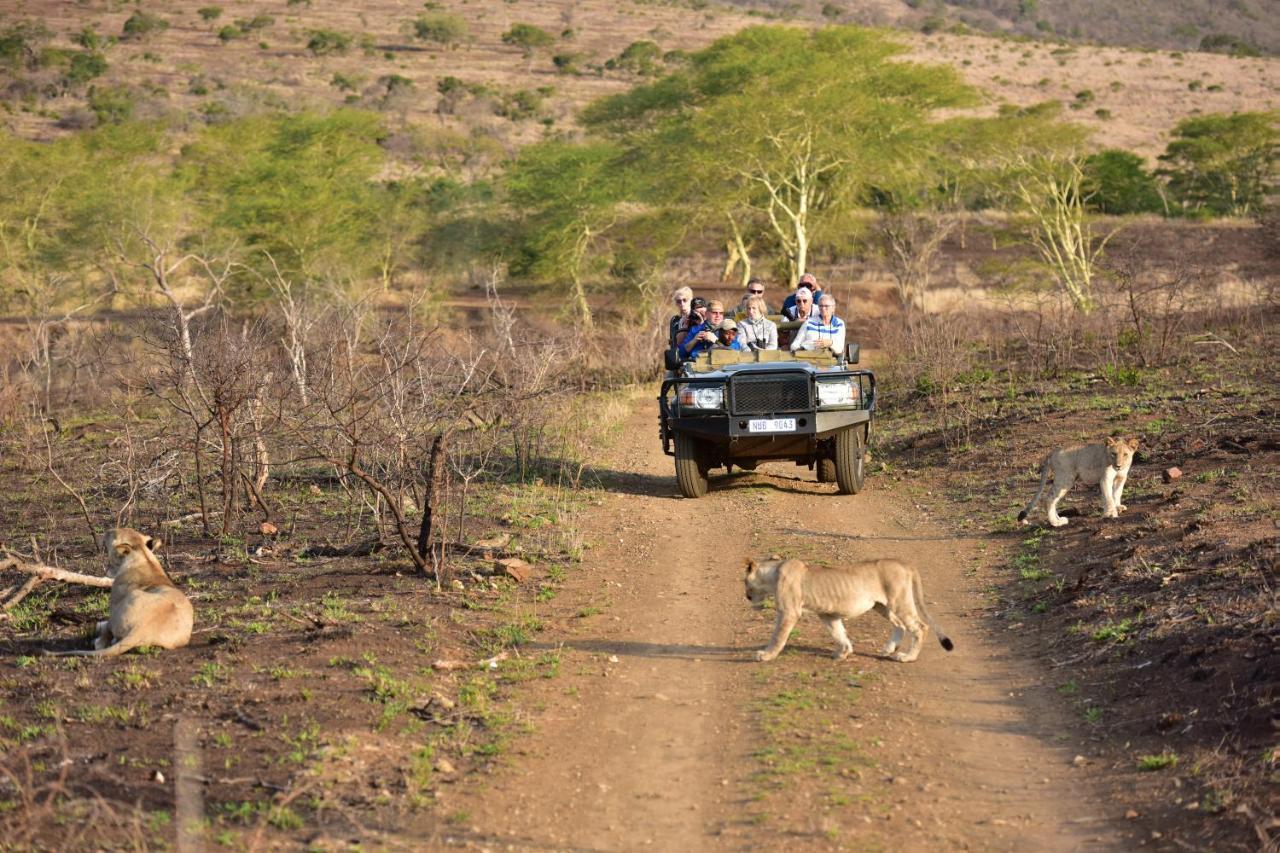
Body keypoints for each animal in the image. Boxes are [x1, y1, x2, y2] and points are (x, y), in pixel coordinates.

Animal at [49, 525, 193, 655]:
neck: (143, 555)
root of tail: (142, 628)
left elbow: (105, 631)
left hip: (126, 602)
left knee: (105, 638)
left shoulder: (114, 603)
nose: (107, 531)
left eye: (113, 536)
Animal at [742, 555, 952, 660]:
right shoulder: (828, 614)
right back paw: (888, 649)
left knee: (920, 627)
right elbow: (838, 633)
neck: (774, 573)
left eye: (744, 582)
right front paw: (843, 652)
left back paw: (908, 656)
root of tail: (903, 562)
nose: (747, 596)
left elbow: (778, 635)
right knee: (899, 624)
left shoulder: (789, 611)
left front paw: (766, 655)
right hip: (881, 606)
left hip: (899, 601)